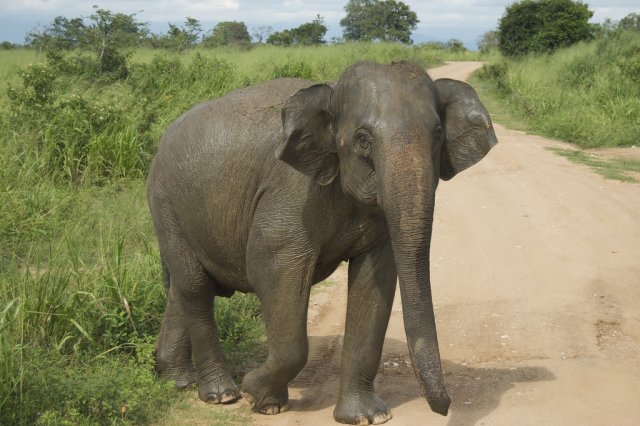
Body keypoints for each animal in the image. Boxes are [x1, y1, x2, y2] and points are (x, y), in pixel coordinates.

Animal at [148, 60, 498, 426]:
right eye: (363, 141)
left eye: (439, 134)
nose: (444, 409)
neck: (331, 92)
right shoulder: (292, 195)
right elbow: (270, 269)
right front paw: (259, 396)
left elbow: (374, 280)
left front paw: (368, 416)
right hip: (166, 204)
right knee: (196, 286)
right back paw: (222, 394)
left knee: (183, 287)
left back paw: (177, 380)